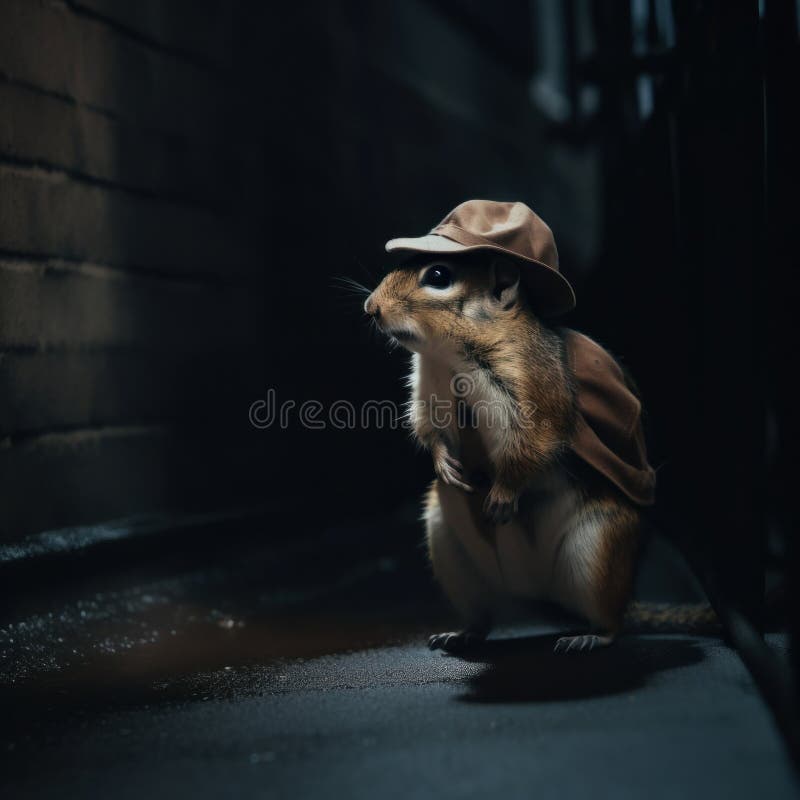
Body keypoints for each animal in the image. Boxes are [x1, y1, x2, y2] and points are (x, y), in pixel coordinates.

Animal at [364, 251, 714, 654]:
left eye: (438, 275)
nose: (371, 308)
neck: (450, 358)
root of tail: (538, 598)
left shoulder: (533, 390)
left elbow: (529, 447)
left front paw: (503, 494)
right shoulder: (428, 388)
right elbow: (429, 427)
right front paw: (444, 465)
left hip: (596, 550)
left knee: (613, 620)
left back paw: (590, 637)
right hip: (453, 557)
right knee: (484, 616)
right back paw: (462, 633)